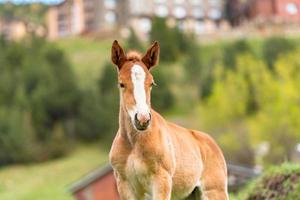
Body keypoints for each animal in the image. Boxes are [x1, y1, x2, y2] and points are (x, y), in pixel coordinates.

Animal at [109, 40, 229, 200]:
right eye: (121, 84)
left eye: (151, 83)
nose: (142, 119)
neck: (134, 145)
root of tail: (213, 144)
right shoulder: (124, 185)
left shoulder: (161, 180)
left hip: (215, 191)